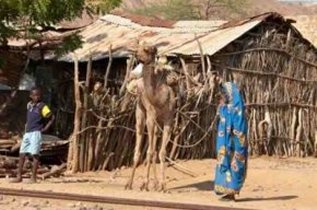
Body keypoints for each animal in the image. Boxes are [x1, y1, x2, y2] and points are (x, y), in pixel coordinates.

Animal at [124, 43, 175, 191]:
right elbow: (150, 152)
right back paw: (130, 184)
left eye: (147, 49)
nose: (135, 53)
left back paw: (155, 184)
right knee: (139, 146)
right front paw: (146, 183)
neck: (158, 98)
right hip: (140, 111)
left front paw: (163, 185)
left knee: (154, 147)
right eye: (139, 47)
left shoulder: (169, 120)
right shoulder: (151, 117)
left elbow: (162, 152)